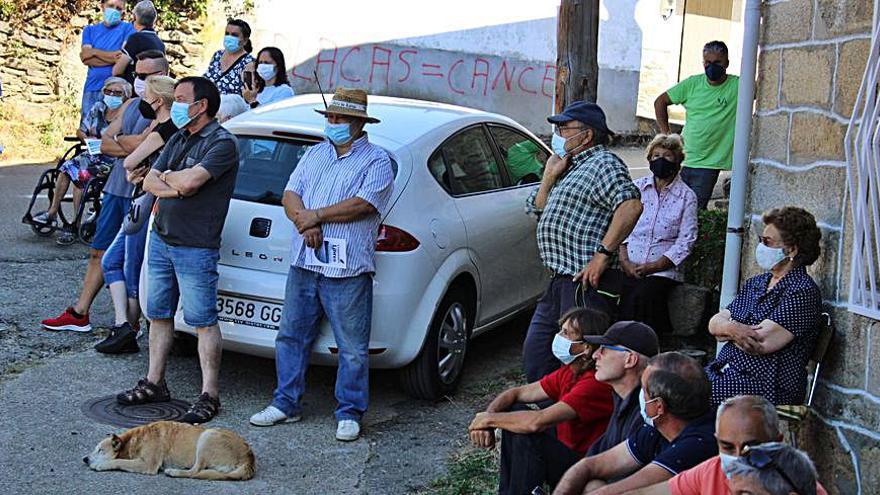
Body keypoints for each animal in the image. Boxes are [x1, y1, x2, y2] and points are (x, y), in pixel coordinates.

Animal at [84, 420, 256, 482]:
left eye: (100, 450)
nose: (84, 459)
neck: (134, 440)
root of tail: (249, 457)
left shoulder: (148, 465)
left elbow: (119, 461)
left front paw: (101, 465)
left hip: (207, 436)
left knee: (194, 472)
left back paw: (174, 472)